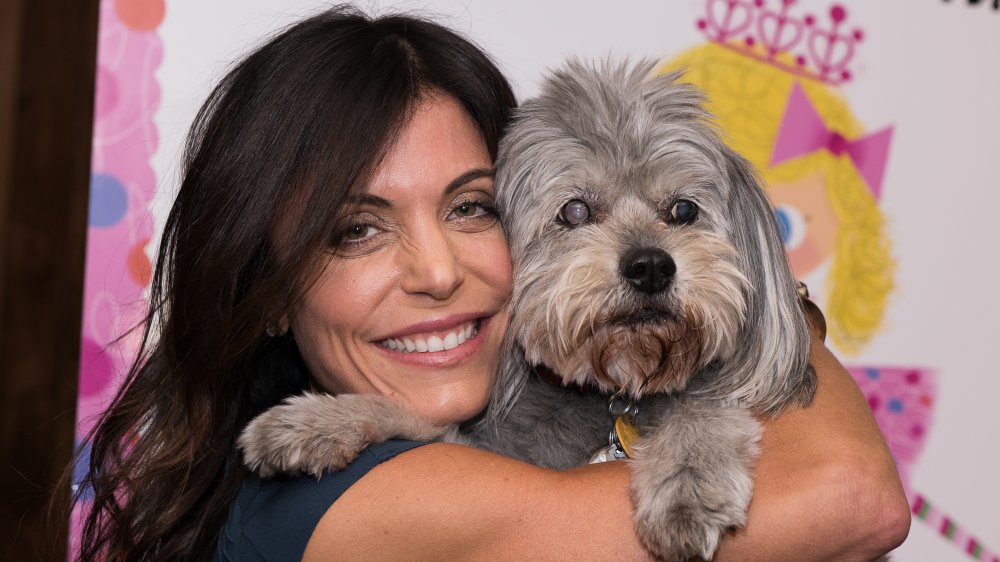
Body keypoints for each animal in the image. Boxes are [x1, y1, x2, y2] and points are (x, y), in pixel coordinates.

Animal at [238, 59, 816, 556]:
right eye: (575, 210)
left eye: (684, 210)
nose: (651, 266)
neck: (613, 394)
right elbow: (410, 417)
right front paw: (315, 423)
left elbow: (702, 410)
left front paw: (687, 490)